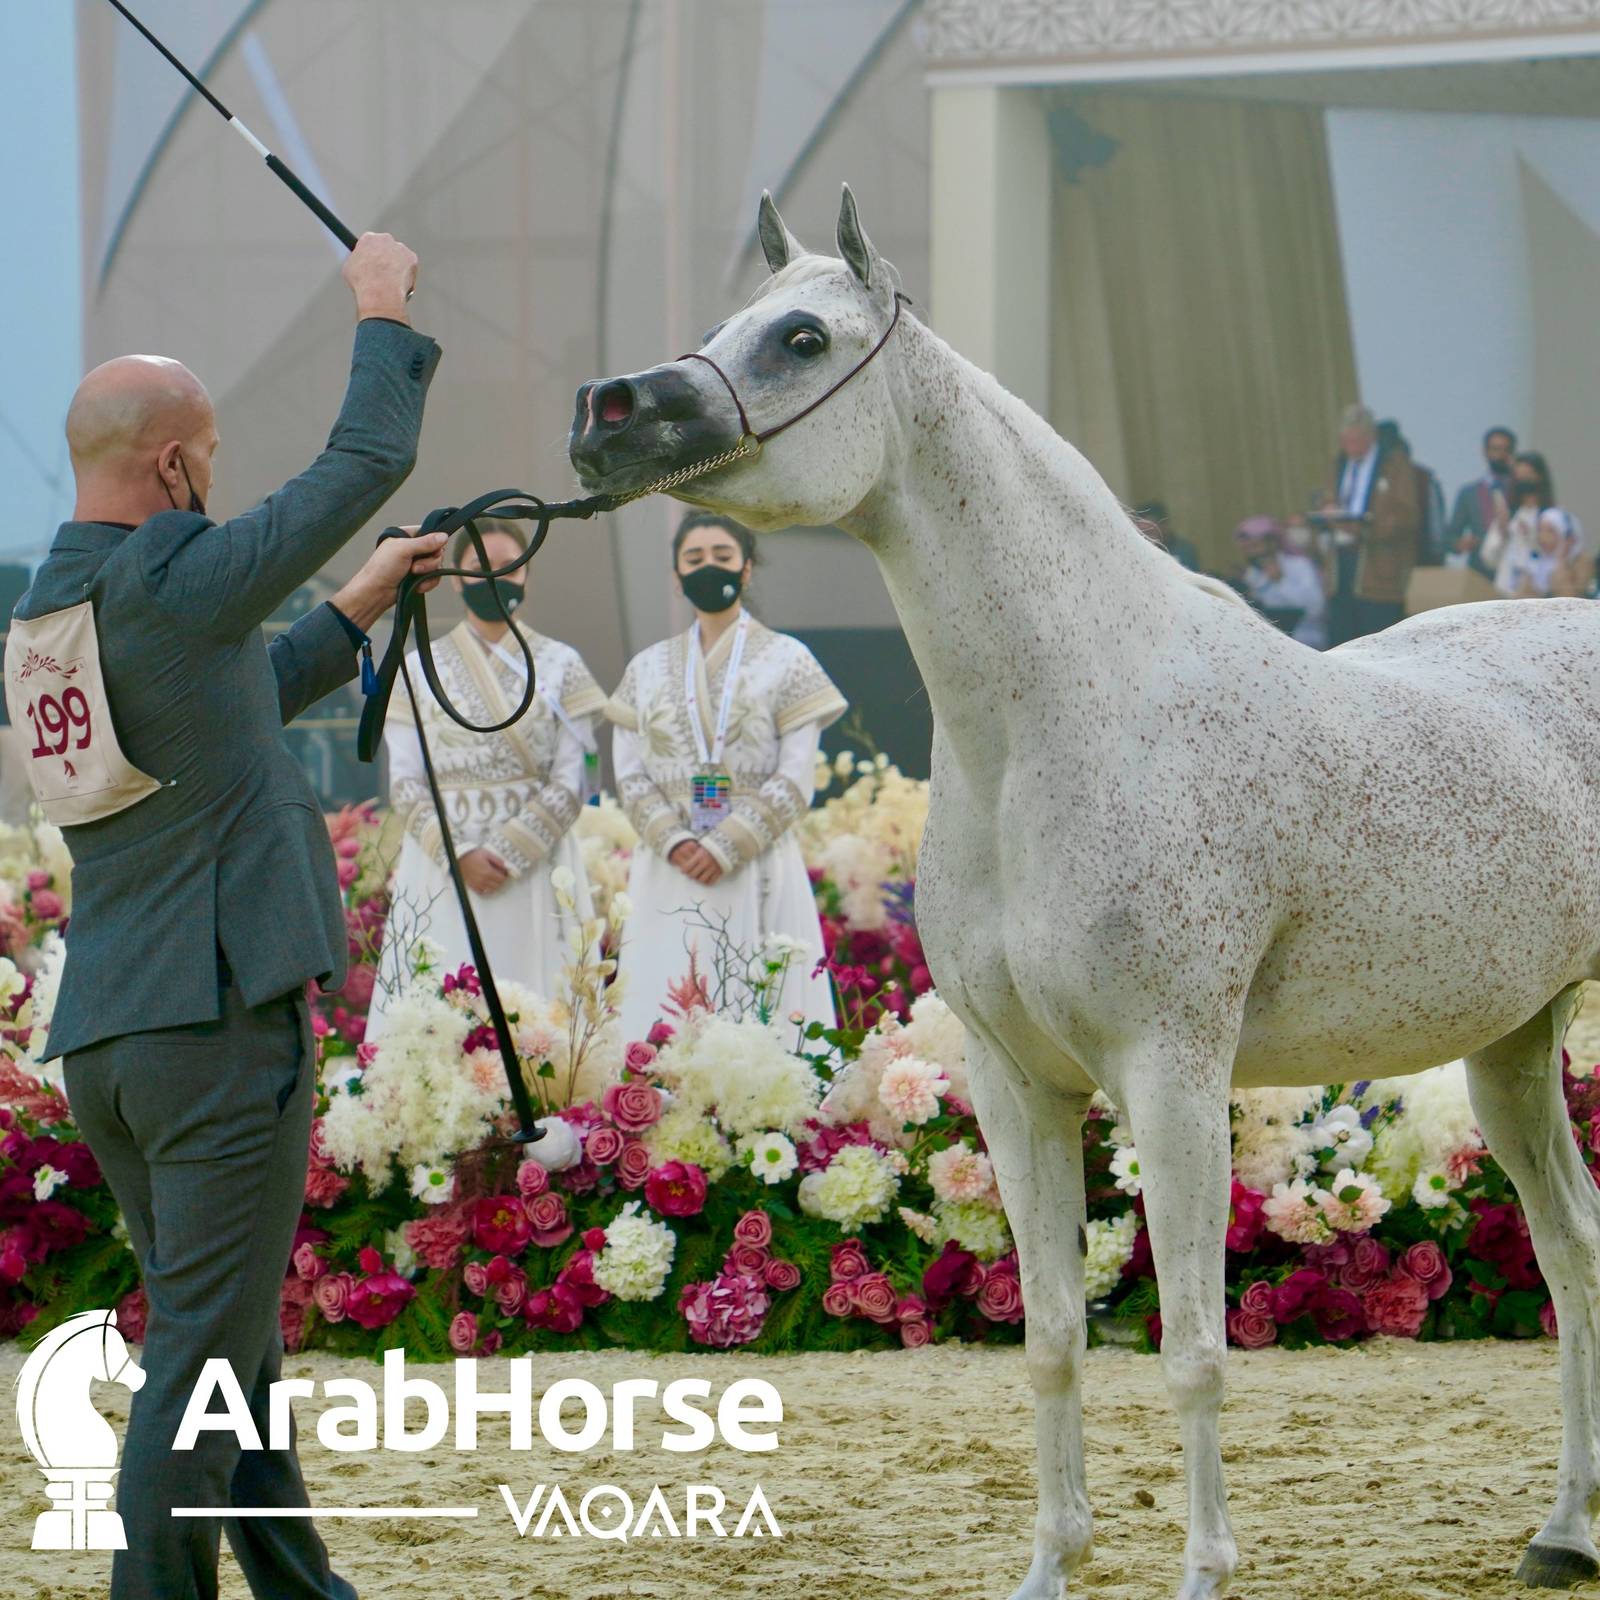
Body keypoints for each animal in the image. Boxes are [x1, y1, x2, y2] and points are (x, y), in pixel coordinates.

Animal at [570, 185, 1600, 1600]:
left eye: (799, 336)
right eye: (724, 320)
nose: (604, 413)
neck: (1067, 717)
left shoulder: (1171, 1076)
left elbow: (1191, 1348)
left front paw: (1204, 1571)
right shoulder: (1018, 1084)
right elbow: (1054, 1334)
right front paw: (1051, 1563)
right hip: (1511, 1048)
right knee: (1574, 1250)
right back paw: (1564, 1528)